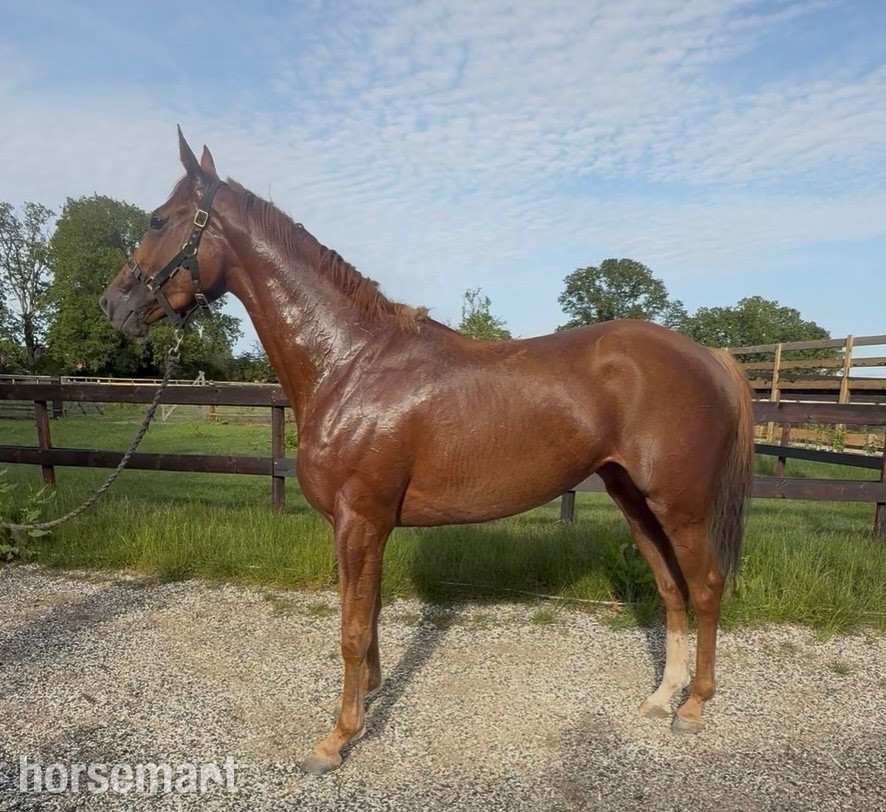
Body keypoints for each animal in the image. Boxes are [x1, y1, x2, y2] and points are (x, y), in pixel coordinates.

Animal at [101, 129, 754, 774]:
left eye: (158, 220)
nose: (114, 303)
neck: (350, 364)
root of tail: (708, 355)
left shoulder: (359, 520)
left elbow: (351, 627)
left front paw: (336, 739)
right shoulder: (363, 524)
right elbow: (368, 615)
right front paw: (367, 697)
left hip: (679, 505)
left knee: (705, 586)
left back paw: (693, 706)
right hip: (633, 499)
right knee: (669, 587)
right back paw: (661, 697)